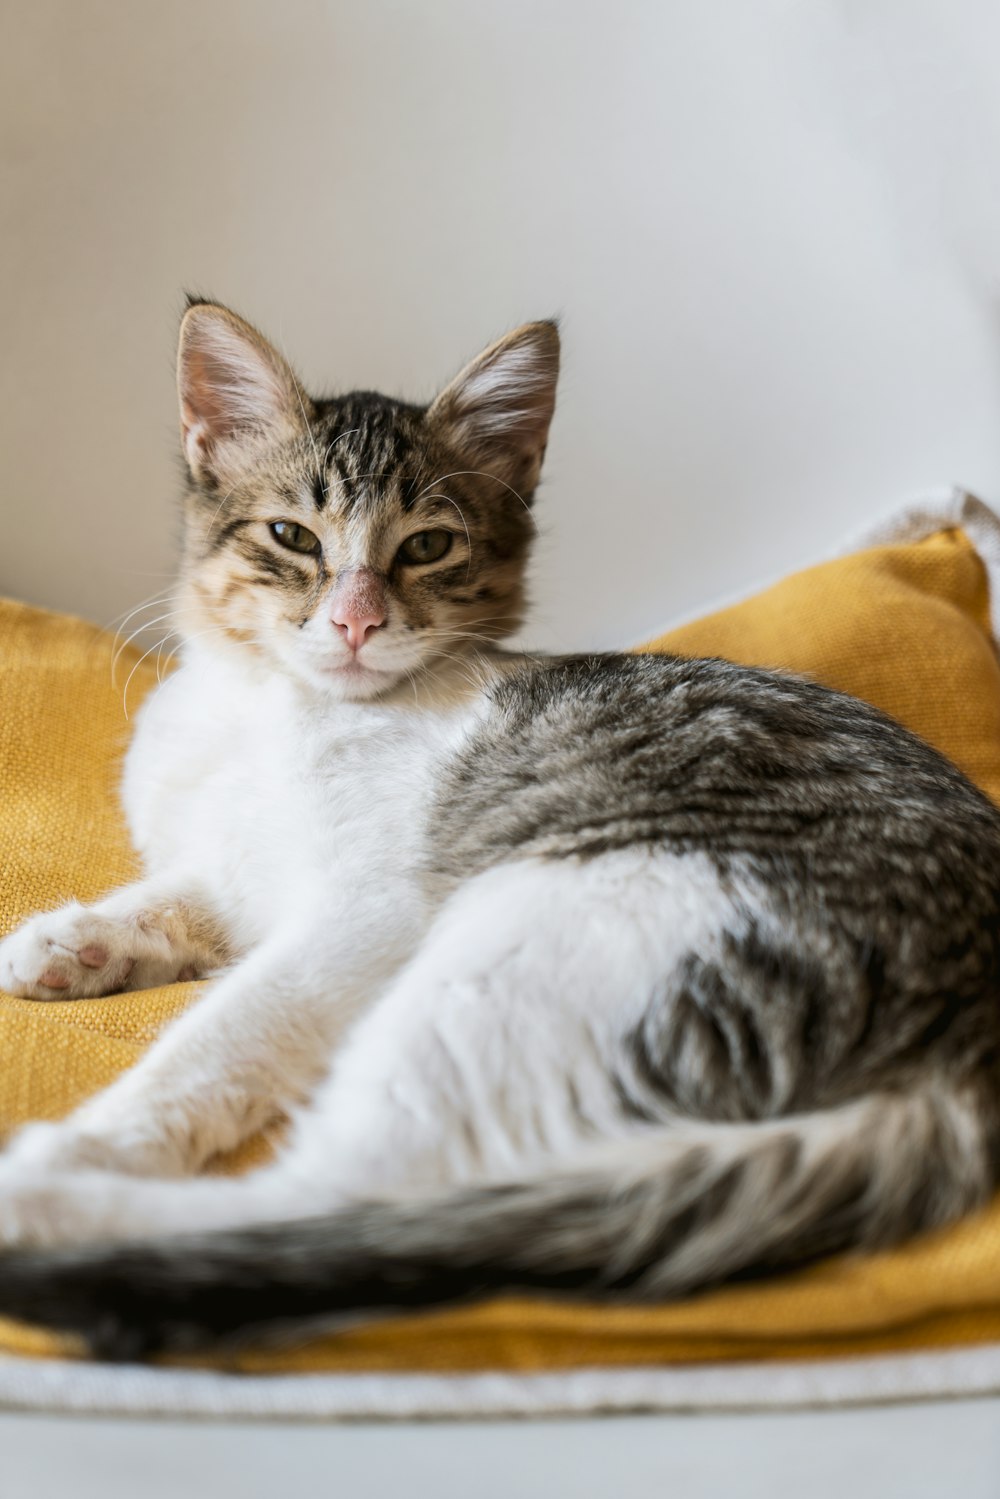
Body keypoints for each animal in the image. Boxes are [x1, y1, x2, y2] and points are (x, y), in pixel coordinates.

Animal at [0, 295, 1000, 1361]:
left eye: (426, 547)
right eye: (293, 535)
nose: (355, 622)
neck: (265, 704)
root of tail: (965, 1061)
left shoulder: (367, 912)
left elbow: (219, 1037)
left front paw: (97, 1129)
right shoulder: (235, 872)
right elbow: (180, 893)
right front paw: (74, 941)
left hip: (546, 935)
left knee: (342, 1192)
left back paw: (46, 1200)